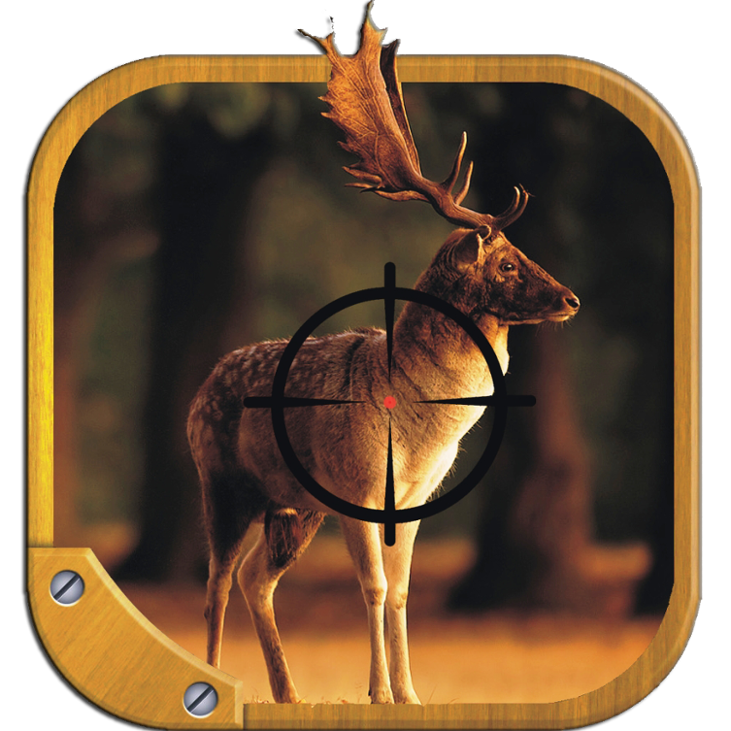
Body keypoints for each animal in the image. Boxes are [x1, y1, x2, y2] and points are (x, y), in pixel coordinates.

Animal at [186, 8, 580, 705]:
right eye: (506, 263)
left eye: (524, 252)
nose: (571, 298)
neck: (422, 430)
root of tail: (199, 390)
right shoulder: (360, 486)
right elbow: (371, 588)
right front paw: (377, 693)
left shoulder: (416, 497)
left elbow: (399, 593)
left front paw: (411, 694)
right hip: (222, 481)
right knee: (215, 587)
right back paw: (217, 680)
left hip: (294, 505)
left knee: (256, 578)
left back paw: (288, 693)